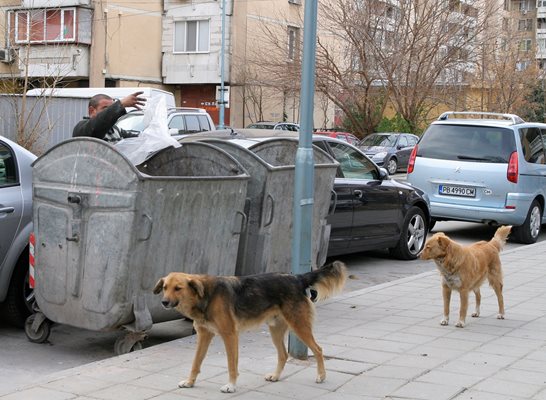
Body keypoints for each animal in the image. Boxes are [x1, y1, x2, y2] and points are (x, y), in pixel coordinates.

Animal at [153, 260, 346, 394]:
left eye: (178, 288)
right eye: (165, 287)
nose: (164, 302)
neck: (206, 296)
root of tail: (297, 278)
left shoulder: (229, 335)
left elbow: (232, 364)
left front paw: (231, 386)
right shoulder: (204, 335)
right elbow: (196, 362)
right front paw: (190, 382)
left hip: (299, 326)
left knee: (318, 349)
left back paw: (321, 376)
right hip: (276, 330)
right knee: (283, 354)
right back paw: (276, 376)